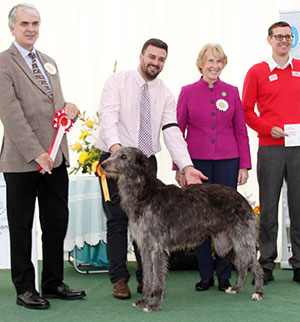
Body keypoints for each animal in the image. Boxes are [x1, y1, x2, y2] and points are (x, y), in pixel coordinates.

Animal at [102, 147, 264, 310]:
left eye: (123, 156)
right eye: (113, 154)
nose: (103, 165)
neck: (145, 193)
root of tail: (242, 198)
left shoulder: (157, 248)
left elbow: (158, 279)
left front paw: (154, 305)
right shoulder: (145, 248)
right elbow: (148, 278)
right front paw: (144, 300)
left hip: (242, 239)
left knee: (256, 266)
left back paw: (258, 292)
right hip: (223, 244)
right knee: (242, 265)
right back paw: (237, 288)